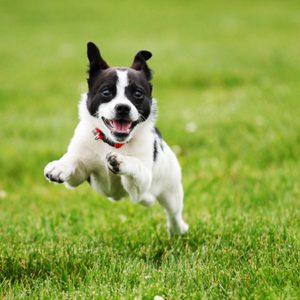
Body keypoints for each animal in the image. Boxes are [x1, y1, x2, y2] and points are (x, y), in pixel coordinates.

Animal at [43, 41, 189, 234]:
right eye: (106, 93)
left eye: (138, 94)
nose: (122, 107)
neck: (113, 143)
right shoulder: (78, 178)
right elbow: (74, 159)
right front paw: (59, 166)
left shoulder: (141, 183)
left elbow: (135, 164)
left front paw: (120, 160)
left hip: (170, 190)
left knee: (173, 212)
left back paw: (178, 229)